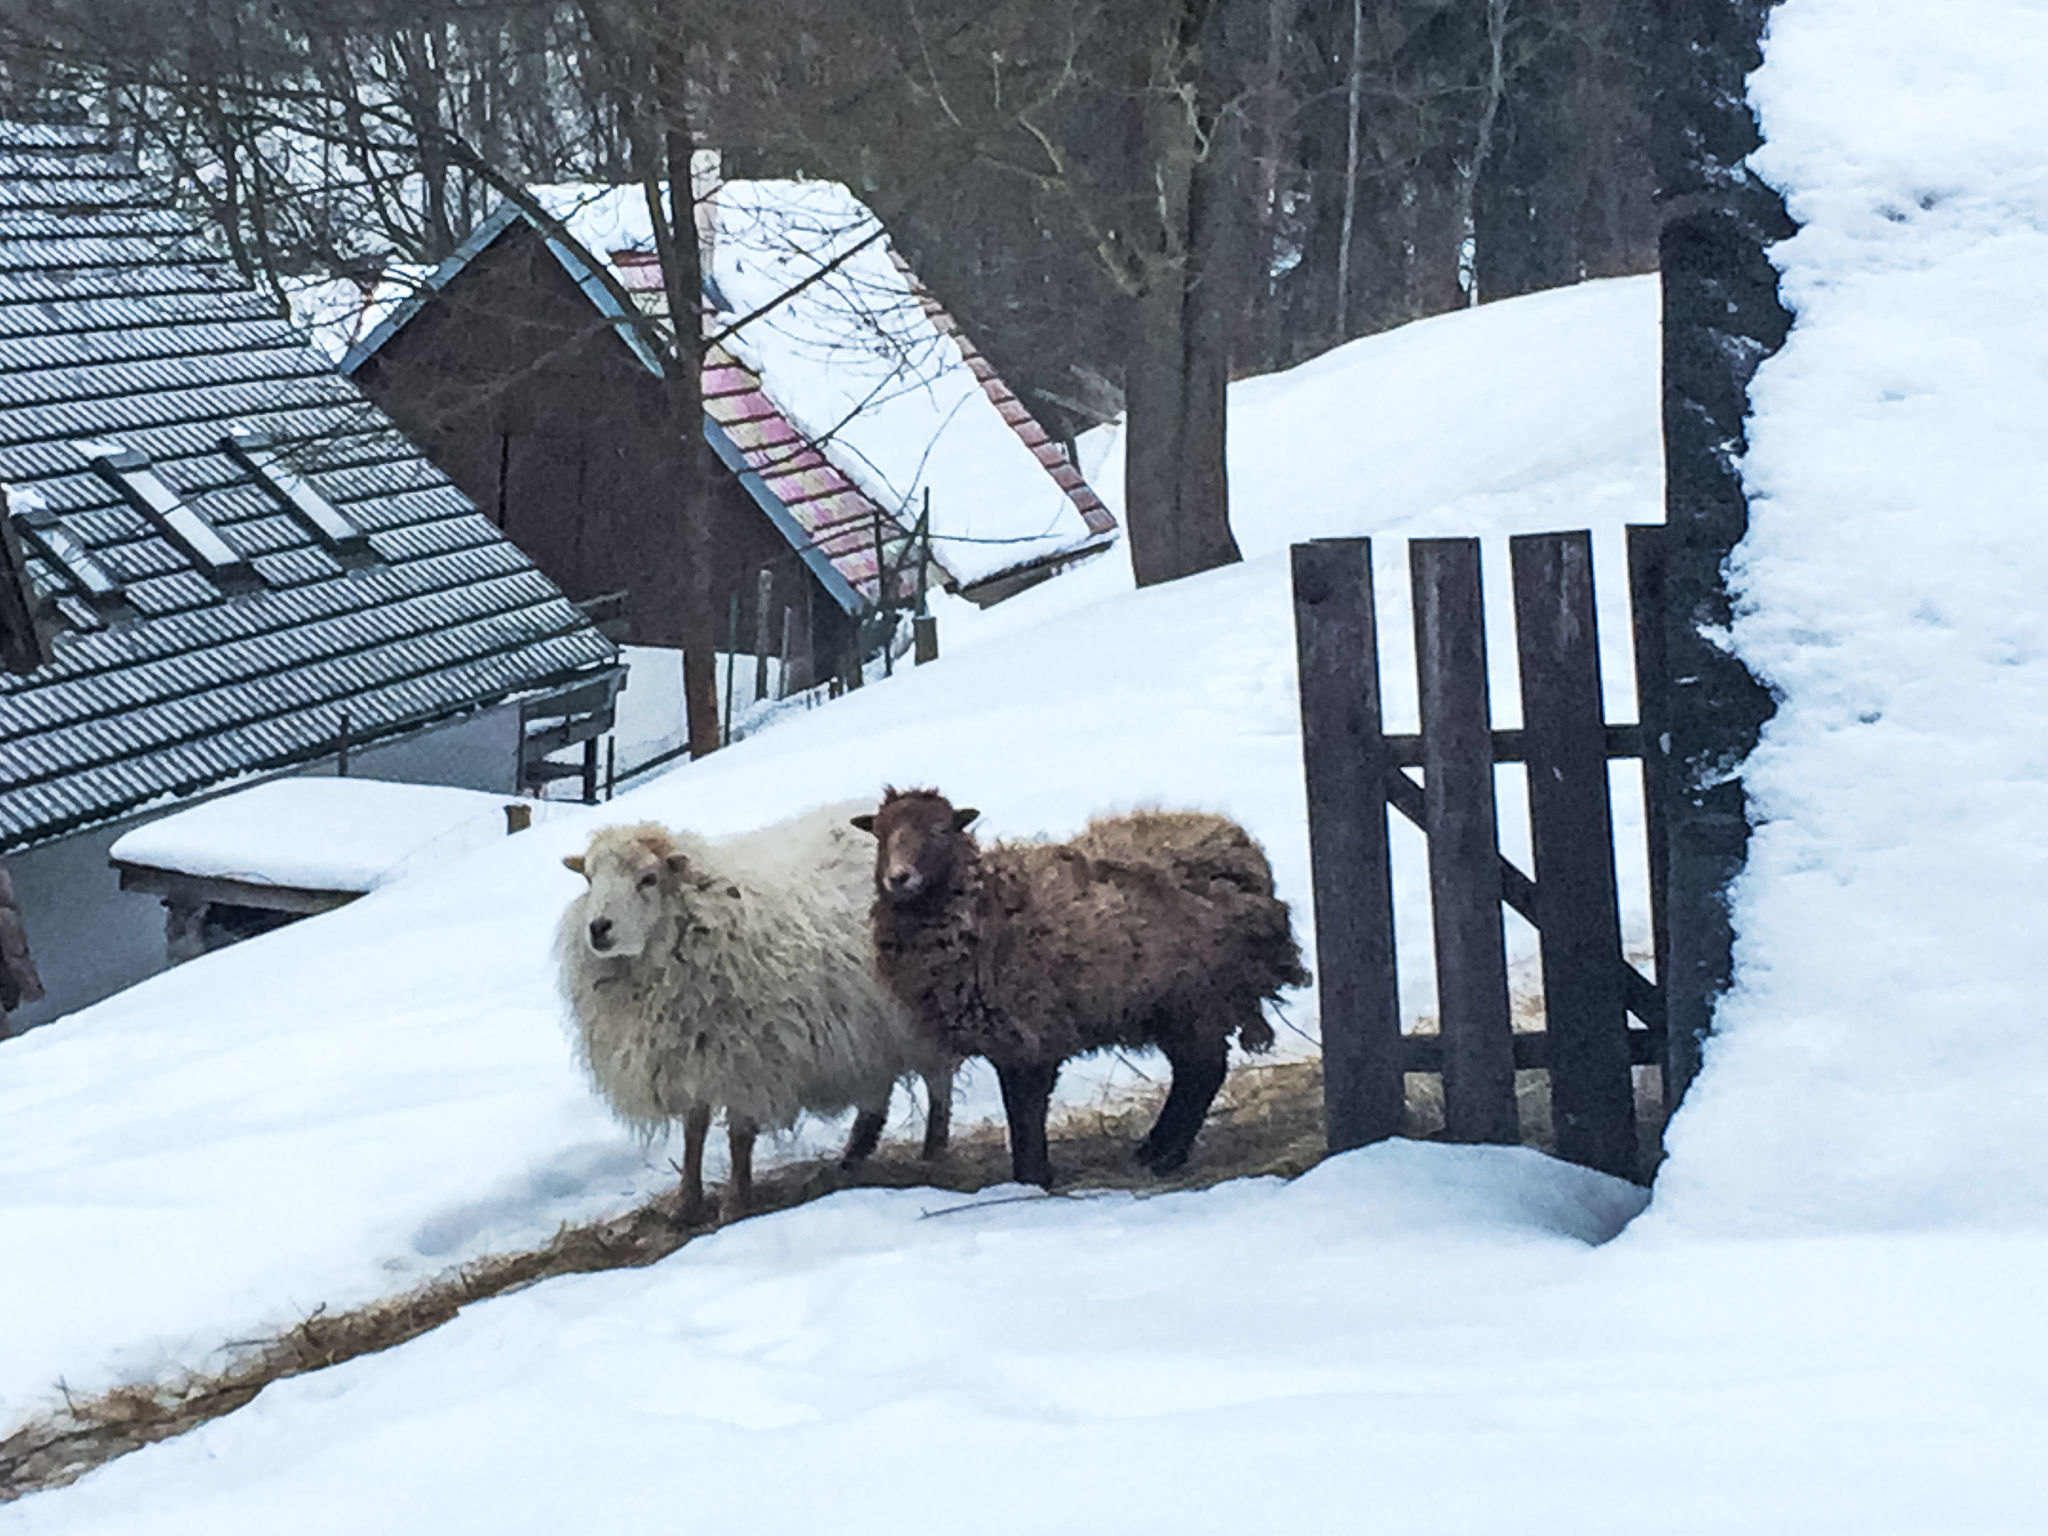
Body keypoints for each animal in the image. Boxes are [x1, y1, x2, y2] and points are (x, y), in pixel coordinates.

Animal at [561, 798, 958, 1220]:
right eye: (589, 879)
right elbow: (694, 1132)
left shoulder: (750, 1057)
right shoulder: (691, 1055)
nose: (598, 928)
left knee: (939, 1083)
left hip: (918, 1017)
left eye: (648, 878)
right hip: (869, 1030)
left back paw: (932, 1151)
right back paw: (851, 1158)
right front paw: (687, 1203)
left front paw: (735, 1204)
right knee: (877, 1092)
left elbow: (739, 1135)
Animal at [851, 794, 1310, 1187]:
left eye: (940, 830)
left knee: (1204, 1071)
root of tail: (1242, 849)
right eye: (881, 834)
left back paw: (1164, 1155)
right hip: (1169, 1005)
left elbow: (1025, 1110)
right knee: (1196, 1071)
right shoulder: (1009, 1040)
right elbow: (1019, 1110)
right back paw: (1154, 1150)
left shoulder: (1031, 1030)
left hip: (1196, 998)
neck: (983, 910)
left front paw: (1031, 1178)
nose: (899, 878)